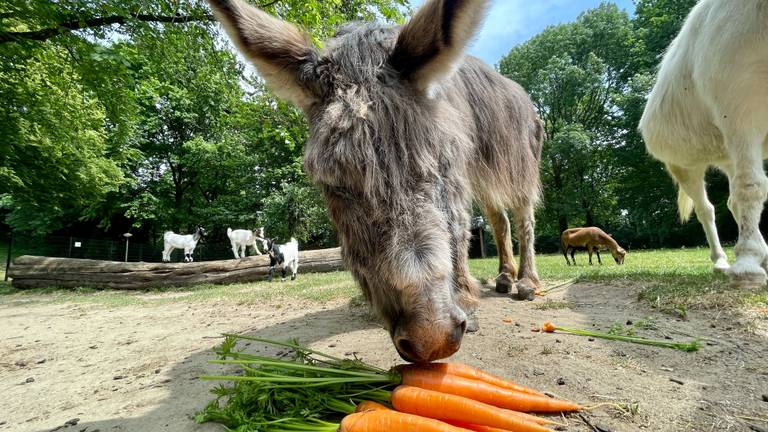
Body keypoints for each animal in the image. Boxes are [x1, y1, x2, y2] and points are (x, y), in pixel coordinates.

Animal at [210, 0, 544, 364]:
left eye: (441, 165)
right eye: (335, 186)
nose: (432, 338)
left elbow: (460, 234)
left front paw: (468, 304)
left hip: (519, 164)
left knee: (524, 217)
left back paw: (526, 282)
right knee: (499, 221)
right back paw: (504, 277)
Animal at [640, 0, 768, 286]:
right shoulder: (740, 112)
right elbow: (751, 187)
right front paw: (747, 266)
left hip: (729, 154)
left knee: (733, 201)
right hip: (687, 167)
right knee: (707, 209)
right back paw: (722, 261)